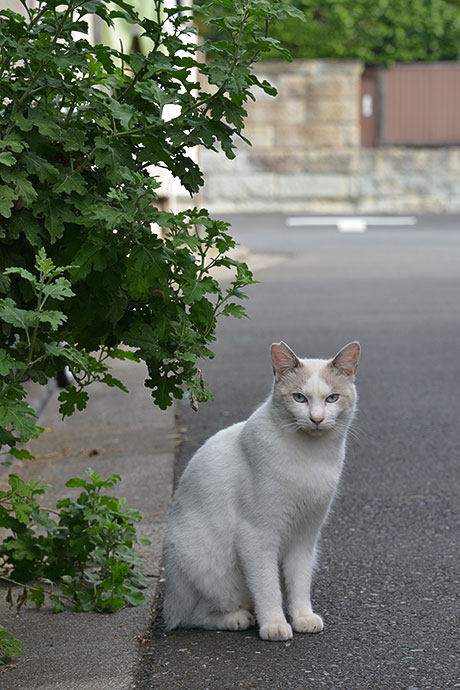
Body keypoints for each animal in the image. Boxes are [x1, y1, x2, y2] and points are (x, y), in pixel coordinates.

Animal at [164, 338, 362, 640]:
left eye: (332, 399)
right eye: (299, 398)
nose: (316, 419)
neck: (310, 456)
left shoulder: (304, 536)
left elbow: (299, 583)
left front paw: (302, 618)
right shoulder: (257, 536)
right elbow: (268, 588)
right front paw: (275, 625)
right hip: (210, 567)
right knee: (189, 616)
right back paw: (237, 618)